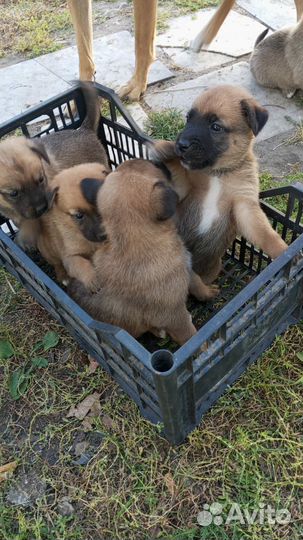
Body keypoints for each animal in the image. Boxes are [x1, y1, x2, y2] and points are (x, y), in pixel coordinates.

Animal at [70, 158, 218, 344]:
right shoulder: (176, 317)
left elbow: (197, 283)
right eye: (155, 167)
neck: (135, 238)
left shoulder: (187, 270)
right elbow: (191, 336)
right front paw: (202, 348)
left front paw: (208, 292)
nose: (156, 160)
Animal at [151, 84, 288, 282]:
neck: (218, 174)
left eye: (215, 127)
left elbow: (265, 233)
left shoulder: (244, 205)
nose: (181, 144)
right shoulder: (181, 190)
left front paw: (285, 252)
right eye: (188, 118)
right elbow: (178, 169)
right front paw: (163, 147)